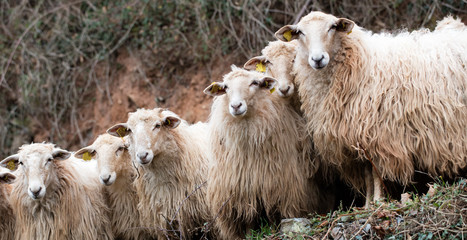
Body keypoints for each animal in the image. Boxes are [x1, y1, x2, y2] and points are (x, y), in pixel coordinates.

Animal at [206, 65, 322, 238]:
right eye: (225, 87)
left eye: (254, 83)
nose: (236, 106)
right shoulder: (242, 193)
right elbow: (248, 222)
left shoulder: (277, 189)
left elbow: (275, 218)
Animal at [276, 11, 467, 206]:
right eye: (300, 32)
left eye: (332, 27)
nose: (318, 59)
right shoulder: (356, 140)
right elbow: (367, 174)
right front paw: (367, 205)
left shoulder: (377, 136)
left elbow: (376, 173)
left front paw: (378, 201)